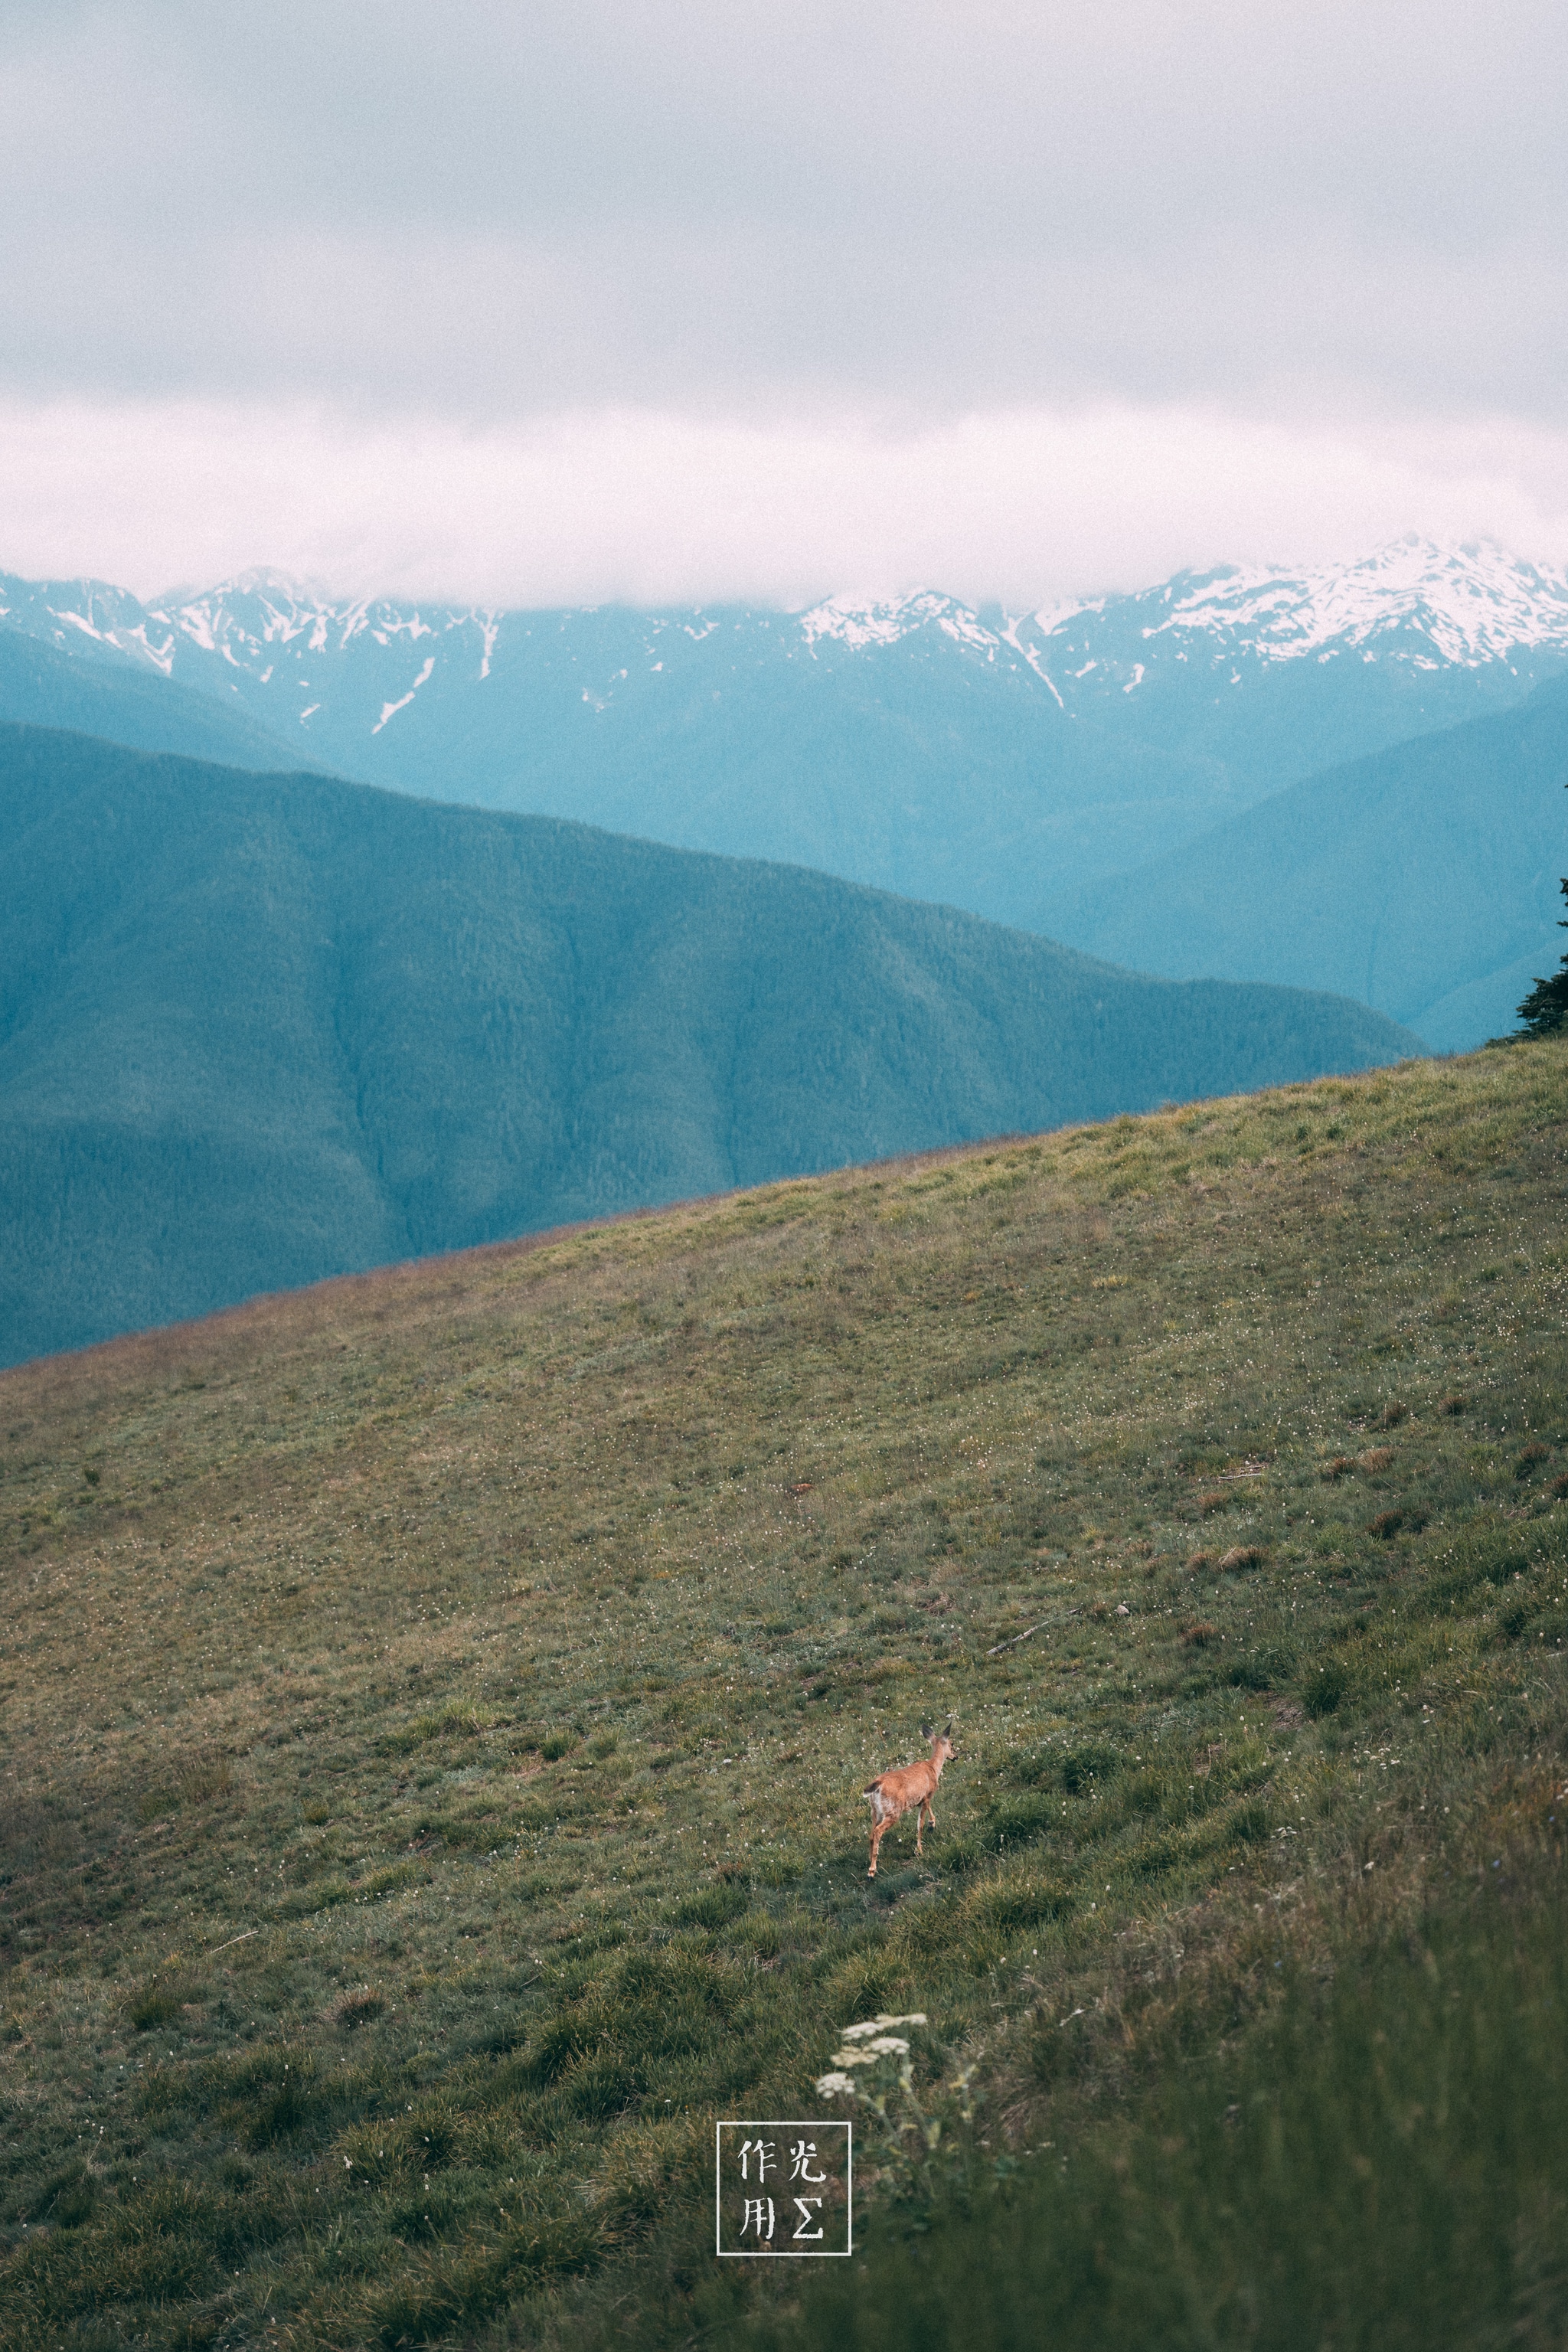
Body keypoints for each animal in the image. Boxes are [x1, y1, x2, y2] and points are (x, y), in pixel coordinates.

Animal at [863, 1723, 956, 1876]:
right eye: (952, 1744)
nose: (956, 1757)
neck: (933, 1768)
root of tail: (878, 1784)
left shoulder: (923, 1798)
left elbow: (928, 1810)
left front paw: (932, 1823)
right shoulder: (927, 1795)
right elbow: (920, 1825)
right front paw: (920, 1849)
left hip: (875, 1810)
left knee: (871, 1833)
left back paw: (869, 1860)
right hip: (893, 1810)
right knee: (877, 1831)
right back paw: (872, 1871)